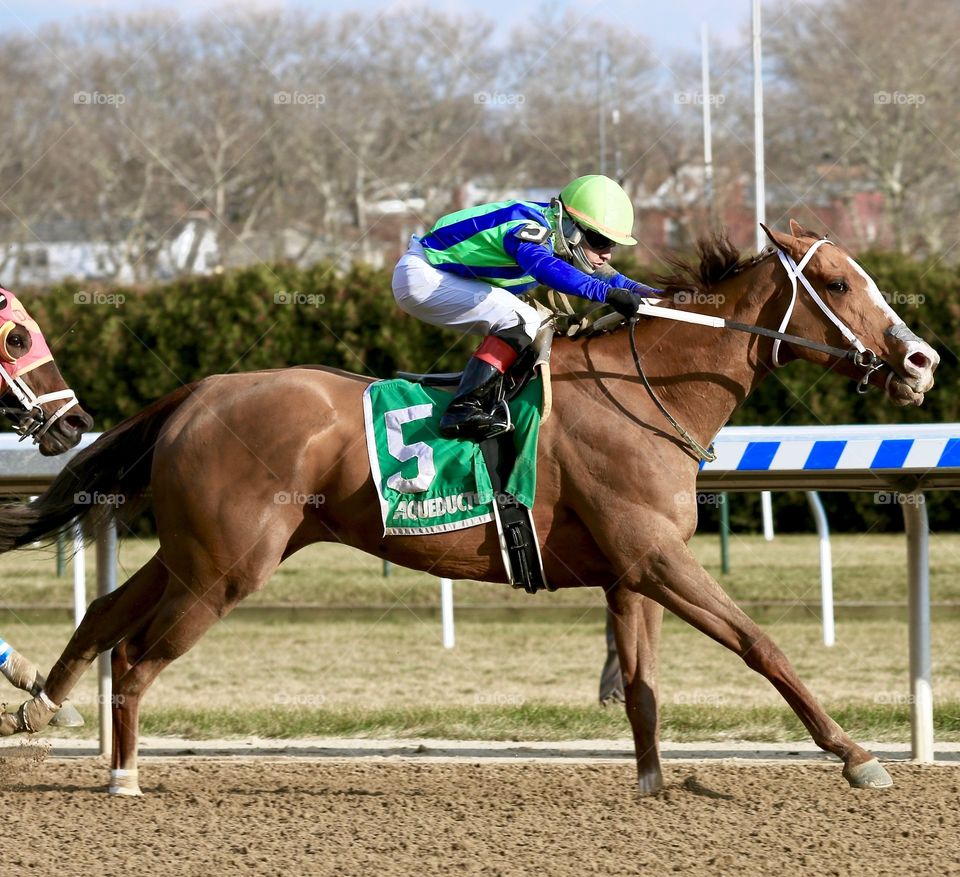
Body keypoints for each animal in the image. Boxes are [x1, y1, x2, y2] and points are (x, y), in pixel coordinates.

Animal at [0, 224, 936, 792]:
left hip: (199, 551)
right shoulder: (659, 559)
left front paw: (653, 785)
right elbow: (760, 644)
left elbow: (641, 687)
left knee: (108, 613)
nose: (921, 360)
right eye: (836, 281)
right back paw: (122, 772)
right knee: (138, 658)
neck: (649, 390)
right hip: (227, 566)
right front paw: (857, 755)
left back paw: (43, 702)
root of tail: (200, 390)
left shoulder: (629, 571)